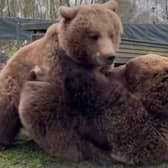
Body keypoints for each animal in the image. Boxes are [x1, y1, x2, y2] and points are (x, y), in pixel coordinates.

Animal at [0, 0, 122, 154]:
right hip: (13, 81)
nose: (109, 56)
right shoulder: (58, 69)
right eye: (94, 35)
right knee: (6, 109)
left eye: (112, 34)